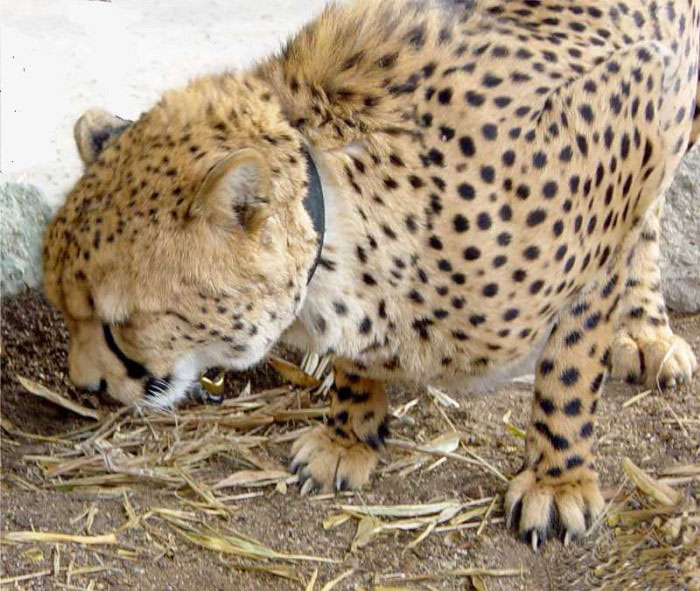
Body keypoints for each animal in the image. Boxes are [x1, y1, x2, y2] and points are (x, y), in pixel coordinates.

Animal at [43, 0, 699, 549]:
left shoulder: (642, 108)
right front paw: (349, 432)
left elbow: (572, 361)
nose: (86, 385)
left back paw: (645, 330)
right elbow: (353, 360)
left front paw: (557, 480)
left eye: (120, 322)